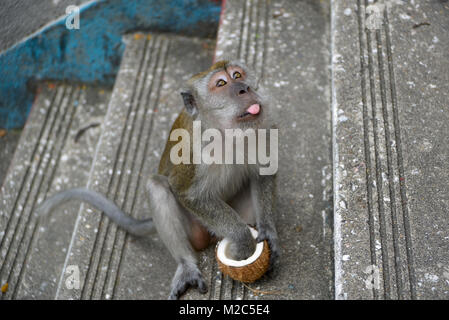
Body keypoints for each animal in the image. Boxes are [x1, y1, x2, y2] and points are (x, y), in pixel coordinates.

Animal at [36, 60, 278, 300]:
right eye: (221, 83)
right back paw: (186, 265)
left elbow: (263, 172)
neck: (228, 132)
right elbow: (188, 194)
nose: (244, 88)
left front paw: (267, 230)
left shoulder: (264, 127)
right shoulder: (194, 155)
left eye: (237, 75)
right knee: (156, 187)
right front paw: (242, 240)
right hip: (196, 229)